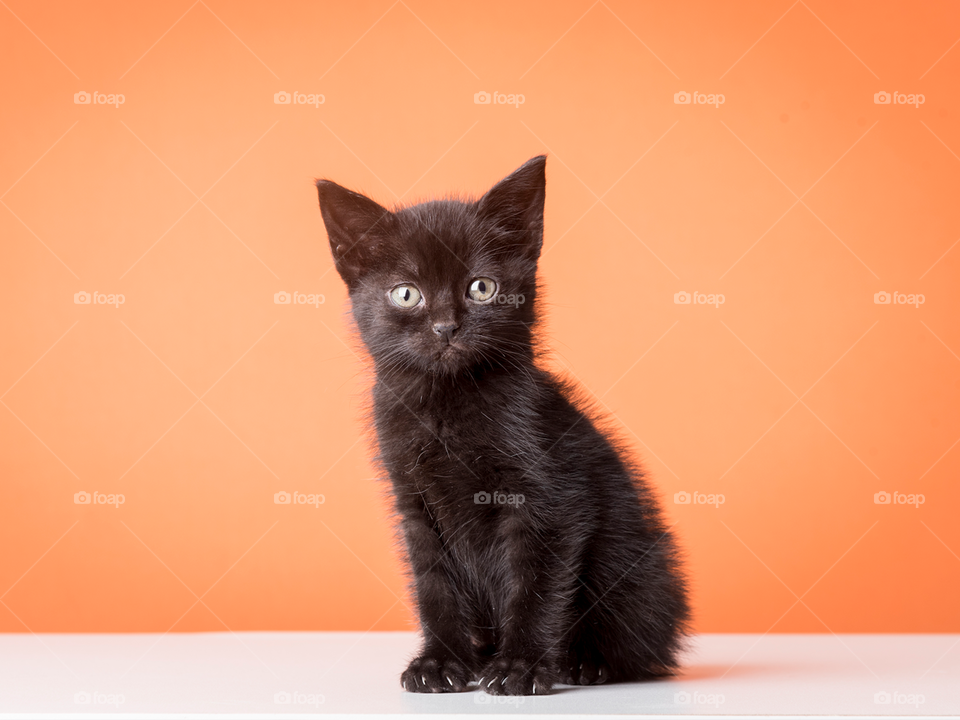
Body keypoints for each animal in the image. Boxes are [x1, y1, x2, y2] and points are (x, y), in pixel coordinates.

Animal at [318, 159, 688, 696]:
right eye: (406, 294)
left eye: (482, 287)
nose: (446, 327)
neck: (448, 404)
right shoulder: (414, 504)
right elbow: (434, 587)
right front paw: (440, 663)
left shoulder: (552, 498)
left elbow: (534, 585)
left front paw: (521, 667)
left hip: (631, 568)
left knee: (642, 646)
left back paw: (586, 663)